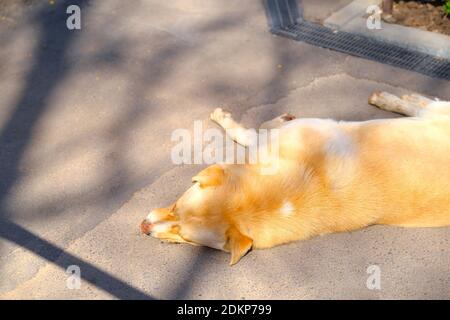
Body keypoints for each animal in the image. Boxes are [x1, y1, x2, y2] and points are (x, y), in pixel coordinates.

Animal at [141, 92, 450, 264]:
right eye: (174, 208)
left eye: (185, 236)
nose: (143, 227)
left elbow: (254, 131)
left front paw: (231, 120)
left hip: (436, 113)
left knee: (425, 103)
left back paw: (392, 98)